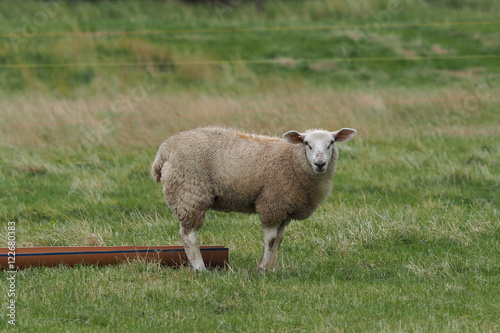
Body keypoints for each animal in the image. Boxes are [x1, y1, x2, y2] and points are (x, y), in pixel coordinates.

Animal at [151, 126, 356, 272]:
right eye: (307, 143)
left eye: (331, 143)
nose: (320, 163)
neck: (292, 159)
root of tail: (163, 151)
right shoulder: (271, 204)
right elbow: (270, 240)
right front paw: (262, 268)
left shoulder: (284, 210)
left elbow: (279, 240)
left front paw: (272, 268)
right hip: (189, 194)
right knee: (188, 235)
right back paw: (200, 268)